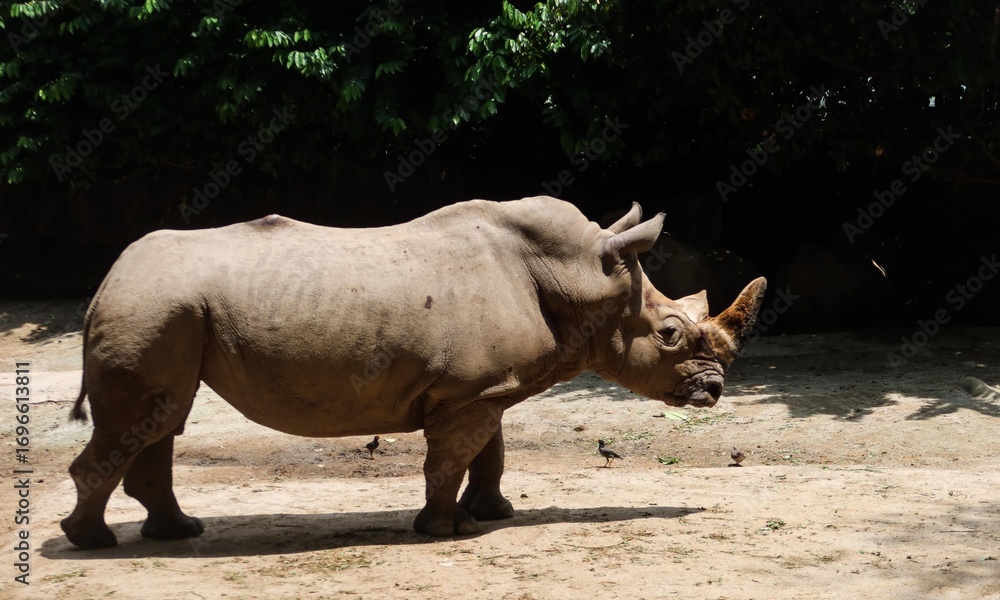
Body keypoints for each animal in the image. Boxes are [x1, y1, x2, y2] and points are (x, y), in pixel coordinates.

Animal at [62, 196, 766, 549]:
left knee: (162, 418)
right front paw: (444, 531)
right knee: (142, 418)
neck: (580, 275)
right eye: (670, 334)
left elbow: (490, 451)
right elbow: (450, 458)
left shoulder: (487, 386)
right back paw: (93, 544)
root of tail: (104, 282)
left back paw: (177, 533)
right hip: (154, 305)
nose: (714, 391)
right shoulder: (468, 391)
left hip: (166, 307)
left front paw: (494, 514)